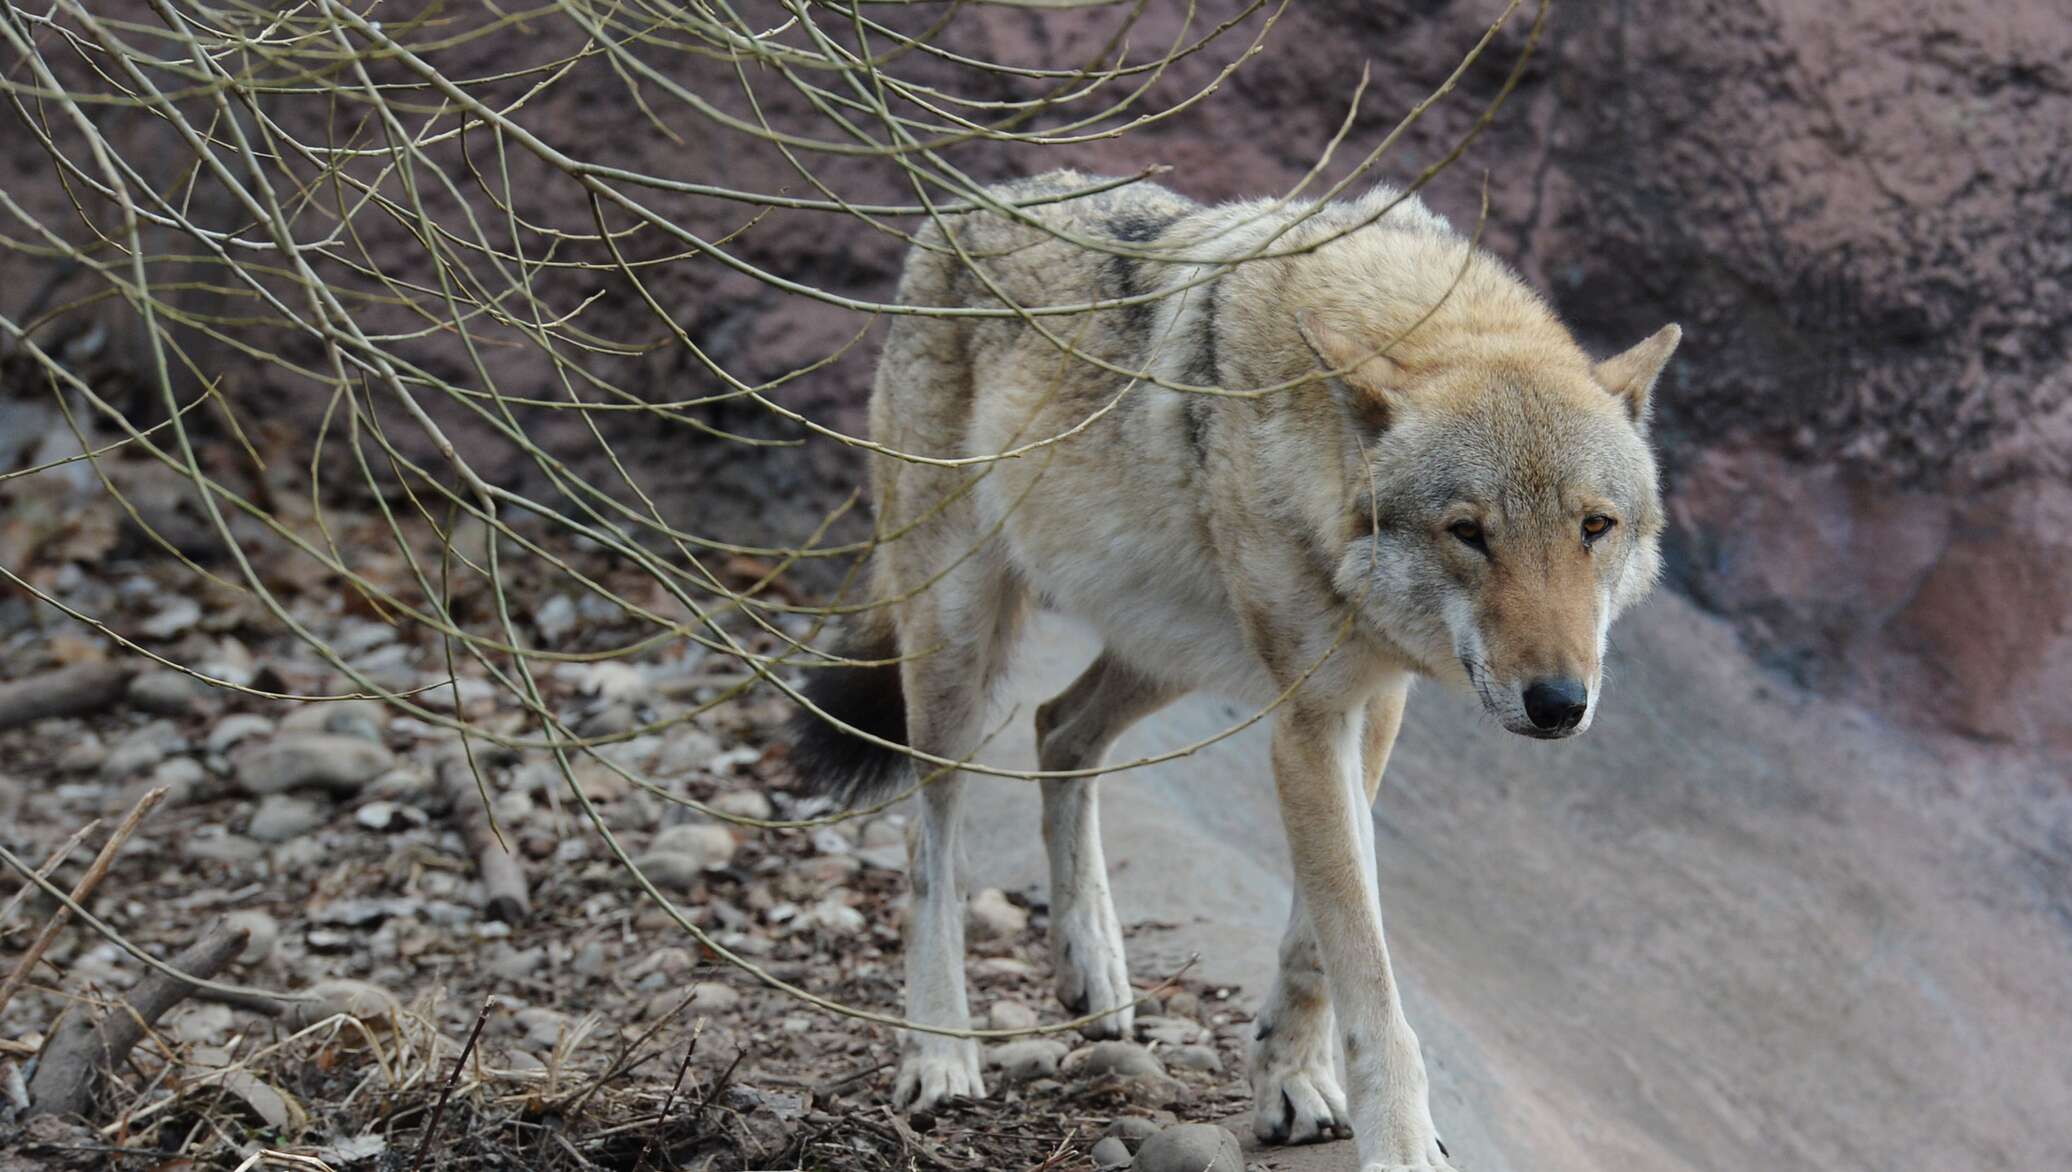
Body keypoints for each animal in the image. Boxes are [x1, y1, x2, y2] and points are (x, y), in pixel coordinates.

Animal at [783, 167, 1674, 1172]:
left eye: (1594, 527)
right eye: (1469, 531)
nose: (1559, 703)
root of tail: (973, 200)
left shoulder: (1370, 704)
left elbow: (1317, 943)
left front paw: (1289, 1078)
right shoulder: (1309, 720)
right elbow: (1363, 959)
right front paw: (1398, 1140)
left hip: (1172, 651)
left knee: (1058, 728)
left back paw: (1094, 967)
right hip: (958, 646)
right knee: (931, 843)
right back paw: (940, 1052)